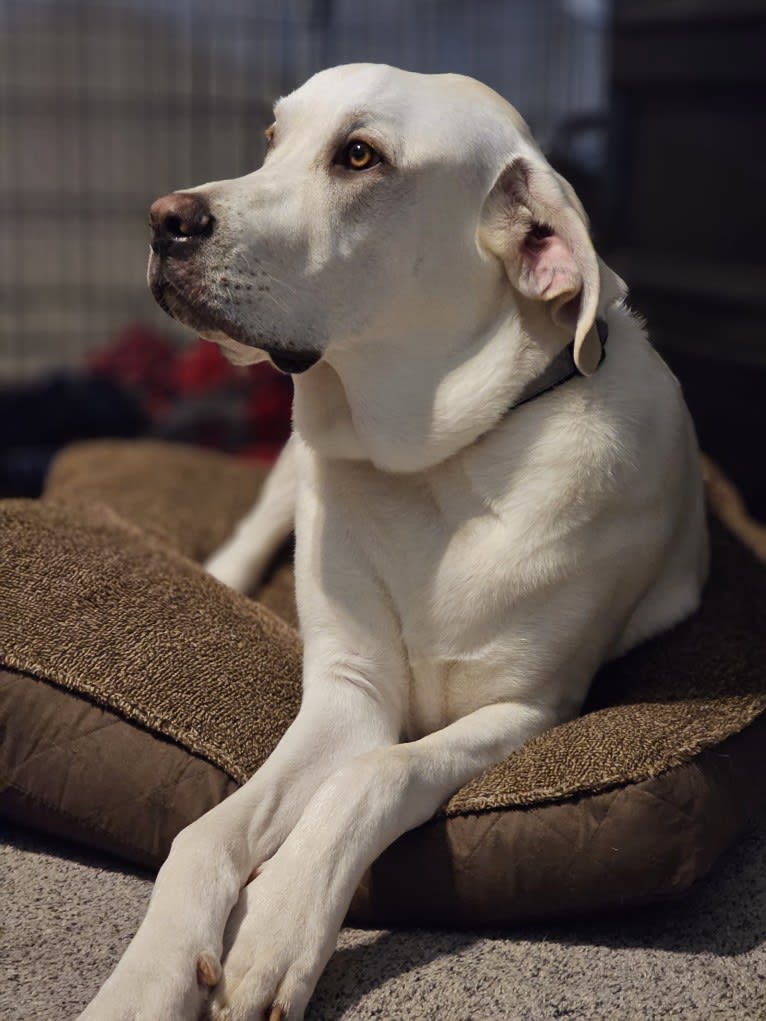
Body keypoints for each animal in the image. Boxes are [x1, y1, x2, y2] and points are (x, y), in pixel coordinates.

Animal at [81, 63, 710, 1021]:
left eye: (359, 155)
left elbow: (375, 775)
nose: (165, 219)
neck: (436, 466)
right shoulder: (347, 690)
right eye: (273, 137)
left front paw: (275, 928)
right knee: (256, 528)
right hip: (293, 461)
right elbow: (205, 831)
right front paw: (145, 979)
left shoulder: (527, 708)